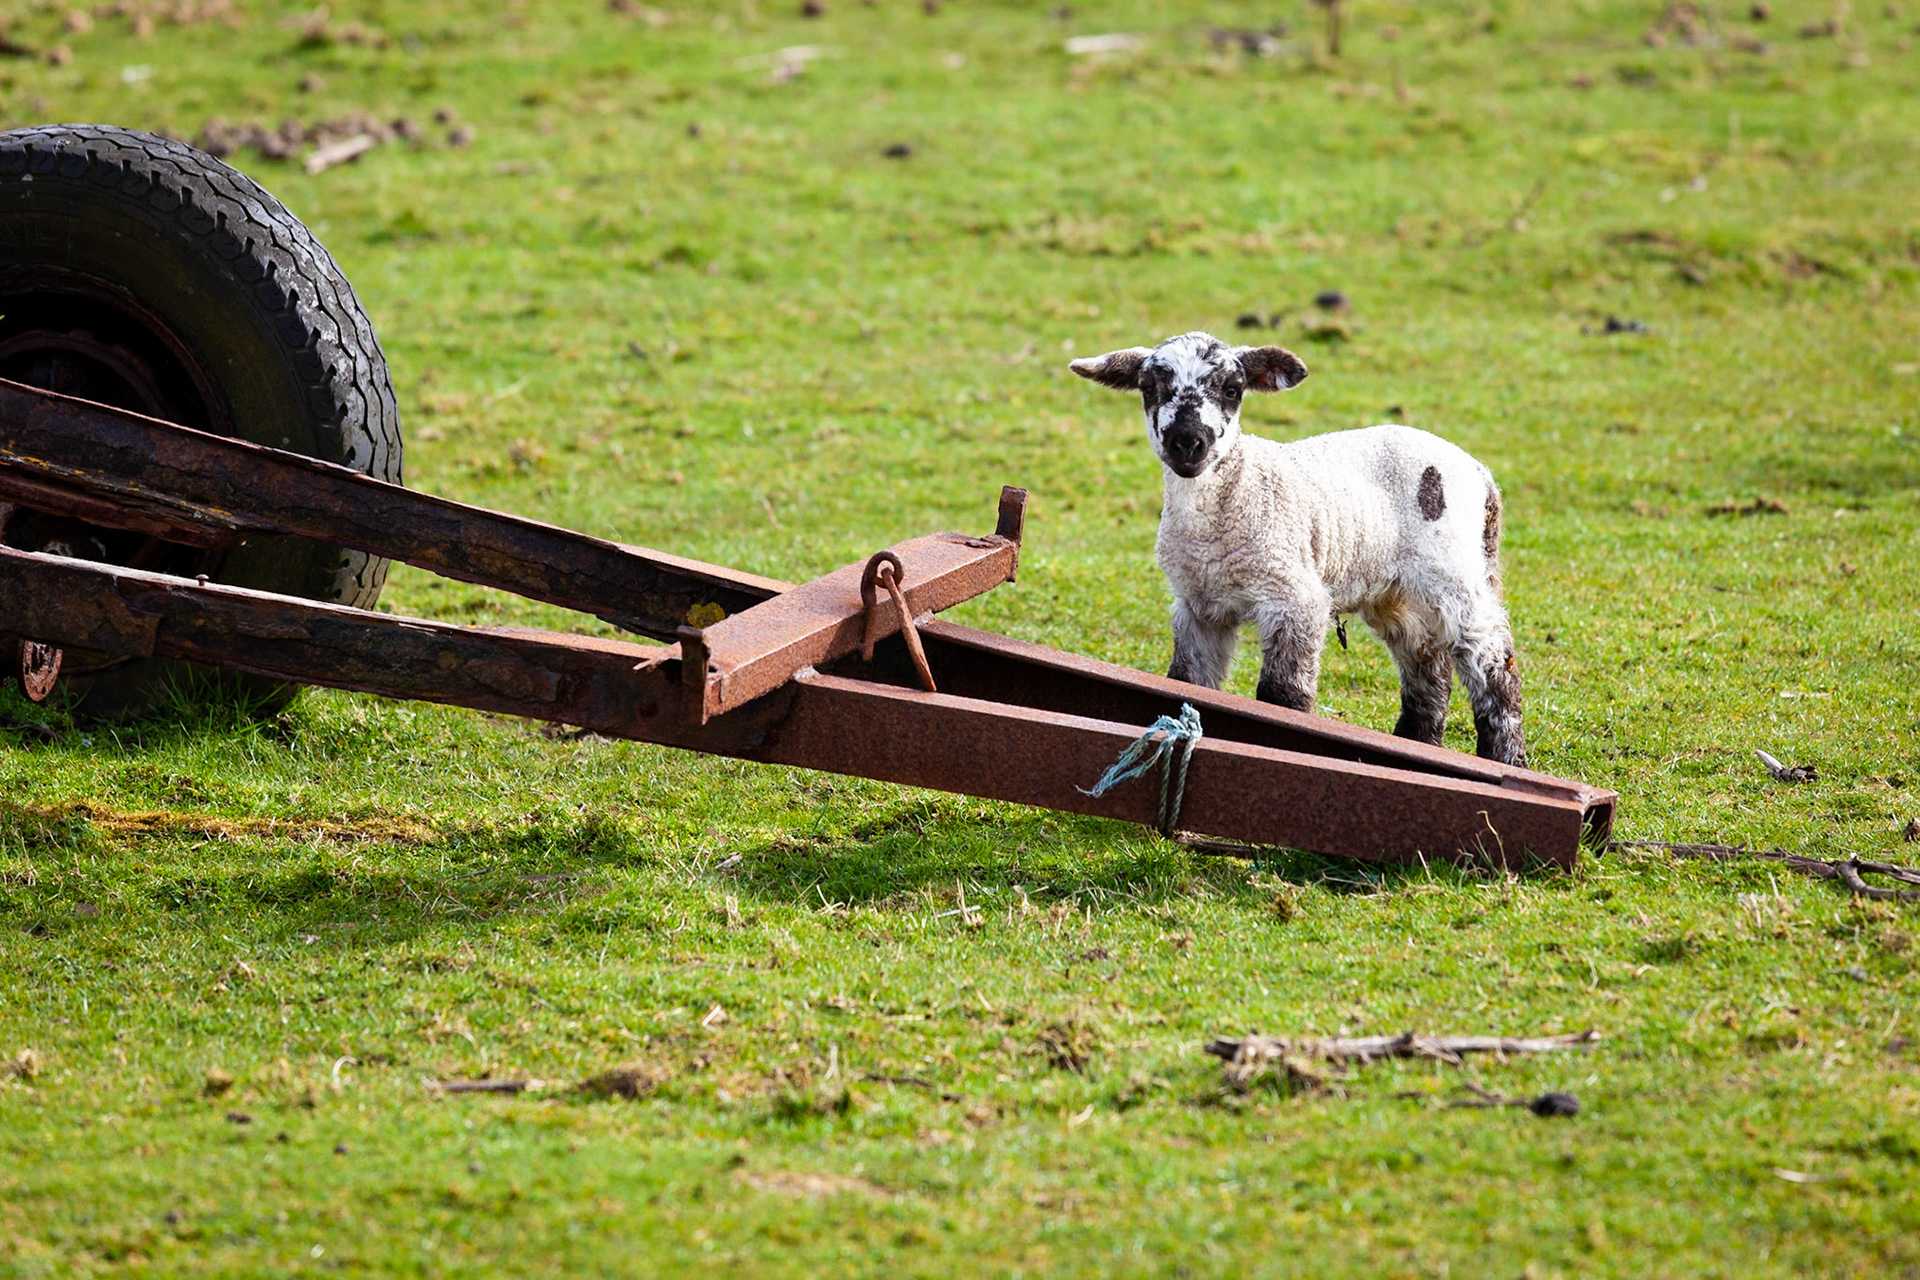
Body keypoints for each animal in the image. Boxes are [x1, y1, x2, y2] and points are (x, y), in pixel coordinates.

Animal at [1070, 331, 1526, 766]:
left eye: (1232, 389)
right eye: (1149, 387)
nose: (1188, 442)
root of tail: (1481, 474)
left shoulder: (1294, 596)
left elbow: (1281, 695)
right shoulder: (1197, 607)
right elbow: (1186, 681)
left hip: (1453, 567)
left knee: (1492, 656)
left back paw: (1508, 758)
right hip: (1394, 588)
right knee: (1427, 659)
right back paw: (1418, 742)